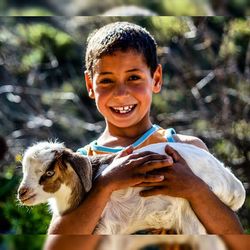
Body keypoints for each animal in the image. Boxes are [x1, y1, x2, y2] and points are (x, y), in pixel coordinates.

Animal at [17, 142, 246, 233]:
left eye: (49, 172)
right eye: (24, 169)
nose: (22, 193)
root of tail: (234, 186)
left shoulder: (106, 227)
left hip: (192, 217)